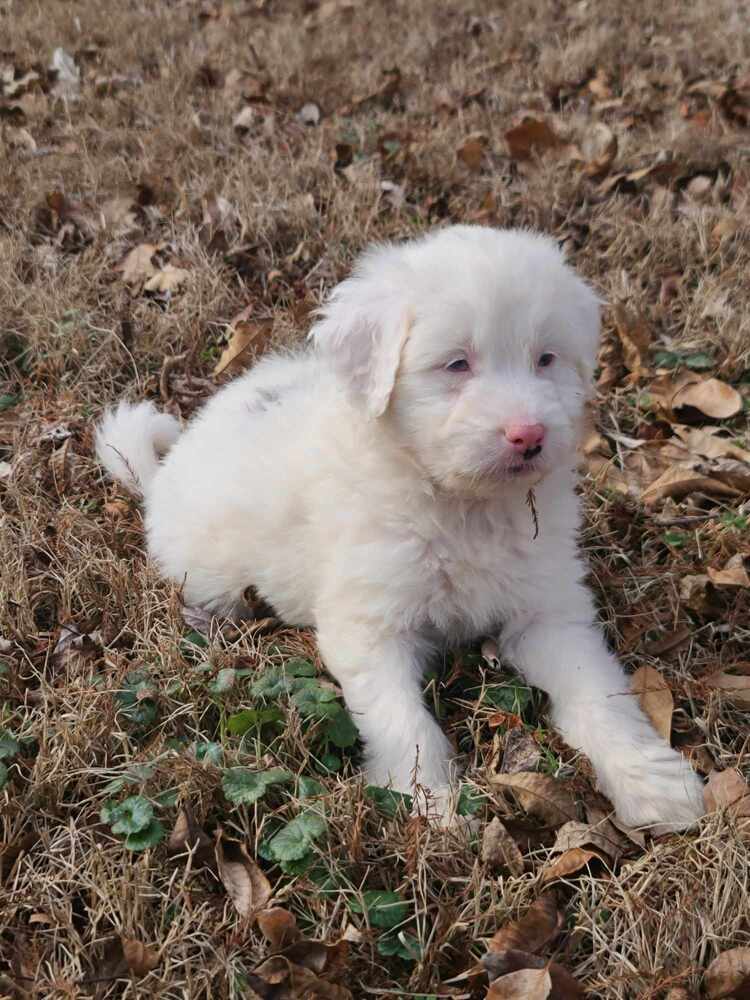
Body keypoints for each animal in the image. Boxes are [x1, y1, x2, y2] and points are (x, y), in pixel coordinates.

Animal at [97, 230, 708, 832]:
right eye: (456, 364)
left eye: (546, 358)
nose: (529, 435)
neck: (464, 507)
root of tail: (166, 467)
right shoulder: (370, 625)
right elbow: (403, 721)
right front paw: (431, 804)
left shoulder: (548, 612)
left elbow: (598, 694)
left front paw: (652, 784)